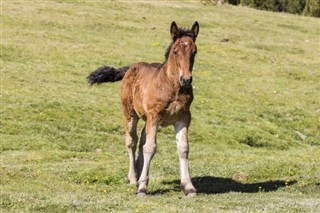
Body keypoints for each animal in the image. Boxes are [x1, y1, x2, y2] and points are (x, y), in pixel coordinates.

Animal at [86, 21, 199, 196]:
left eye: (195, 51)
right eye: (175, 51)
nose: (186, 79)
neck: (172, 86)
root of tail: (130, 68)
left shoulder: (183, 117)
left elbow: (183, 148)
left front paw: (188, 187)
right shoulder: (155, 115)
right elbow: (150, 148)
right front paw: (142, 188)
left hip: (147, 118)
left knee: (141, 140)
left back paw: (139, 176)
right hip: (130, 113)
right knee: (132, 141)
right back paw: (133, 178)